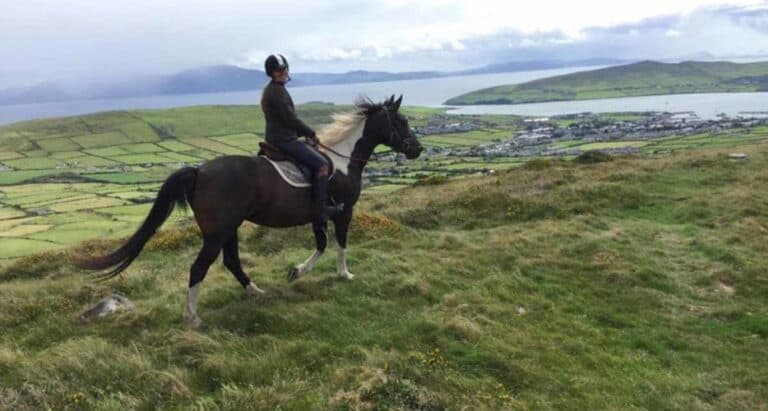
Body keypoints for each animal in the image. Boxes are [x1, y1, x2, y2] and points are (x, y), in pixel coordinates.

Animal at [78, 95, 424, 326]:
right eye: (403, 121)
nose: (418, 149)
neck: (342, 160)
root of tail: (199, 171)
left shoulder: (318, 216)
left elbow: (322, 245)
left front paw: (296, 272)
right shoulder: (342, 211)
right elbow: (338, 244)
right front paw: (343, 274)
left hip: (229, 228)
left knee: (231, 261)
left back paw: (255, 290)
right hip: (217, 233)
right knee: (198, 269)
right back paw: (193, 317)